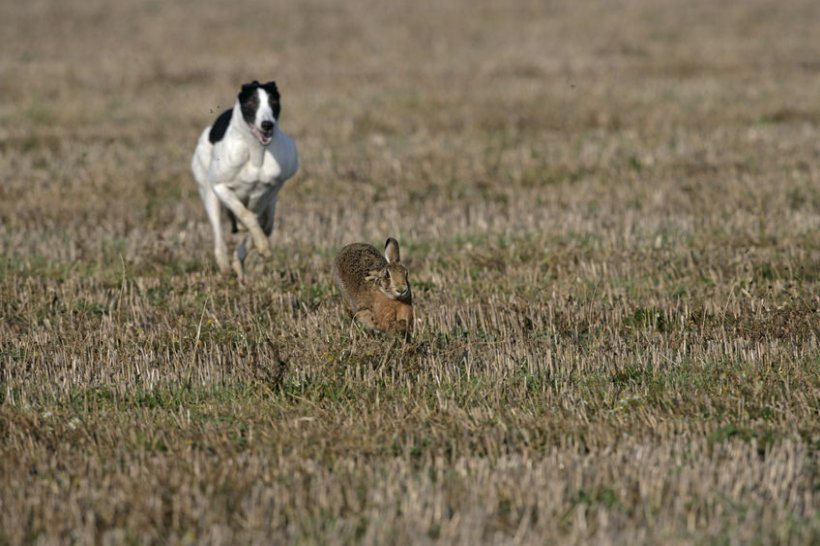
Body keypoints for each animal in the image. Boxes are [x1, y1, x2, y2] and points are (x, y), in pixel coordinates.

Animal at [191, 79, 298, 280]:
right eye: (252, 102)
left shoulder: (272, 188)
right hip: (209, 194)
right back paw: (226, 267)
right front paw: (262, 245)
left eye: (273, 101)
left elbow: (258, 221)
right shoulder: (220, 187)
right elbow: (246, 215)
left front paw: (260, 248)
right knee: (220, 235)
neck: (256, 152)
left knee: (264, 225)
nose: (267, 124)